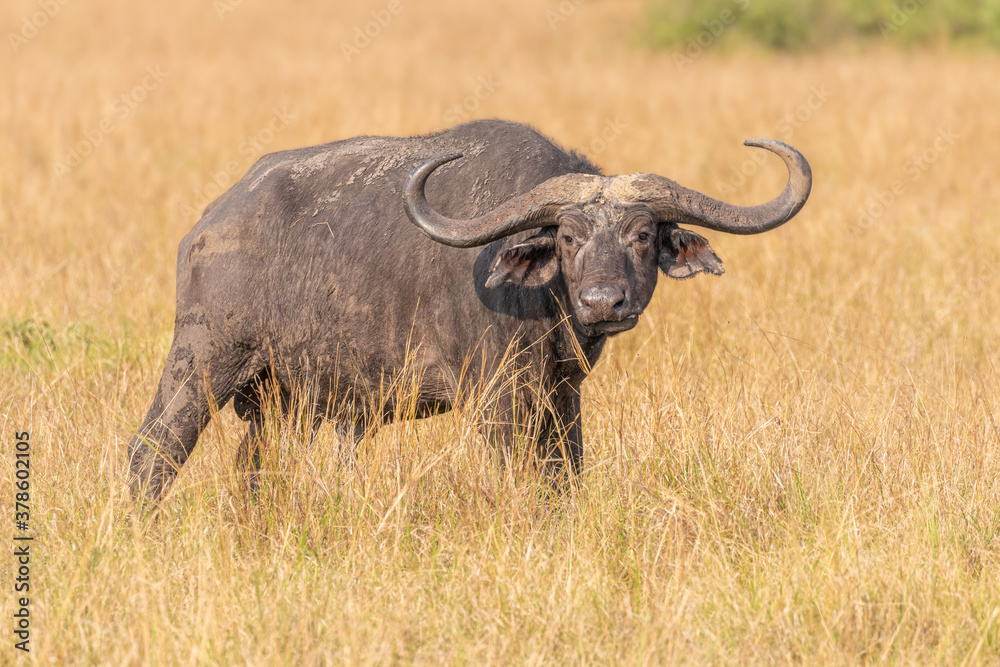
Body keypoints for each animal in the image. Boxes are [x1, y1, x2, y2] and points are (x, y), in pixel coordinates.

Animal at [127, 118, 812, 500]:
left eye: (643, 234)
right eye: (568, 237)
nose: (603, 302)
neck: (546, 306)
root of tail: (209, 223)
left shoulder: (563, 397)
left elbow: (565, 477)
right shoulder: (498, 399)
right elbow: (519, 477)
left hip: (282, 403)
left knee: (255, 469)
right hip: (202, 362)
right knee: (152, 449)